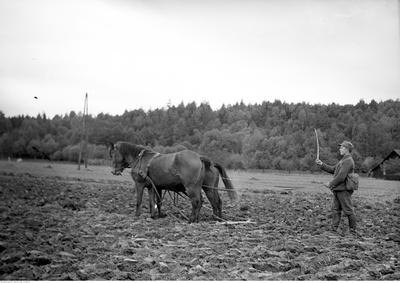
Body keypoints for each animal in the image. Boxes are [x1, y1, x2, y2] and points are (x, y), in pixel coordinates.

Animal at [108, 142, 236, 224]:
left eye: (113, 154)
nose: (113, 171)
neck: (140, 159)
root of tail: (200, 157)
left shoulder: (139, 184)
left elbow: (139, 201)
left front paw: (137, 216)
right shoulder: (154, 187)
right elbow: (155, 202)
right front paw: (155, 216)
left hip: (191, 187)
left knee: (197, 201)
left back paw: (192, 220)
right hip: (208, 188)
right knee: (215, 202)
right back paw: (215, 219)